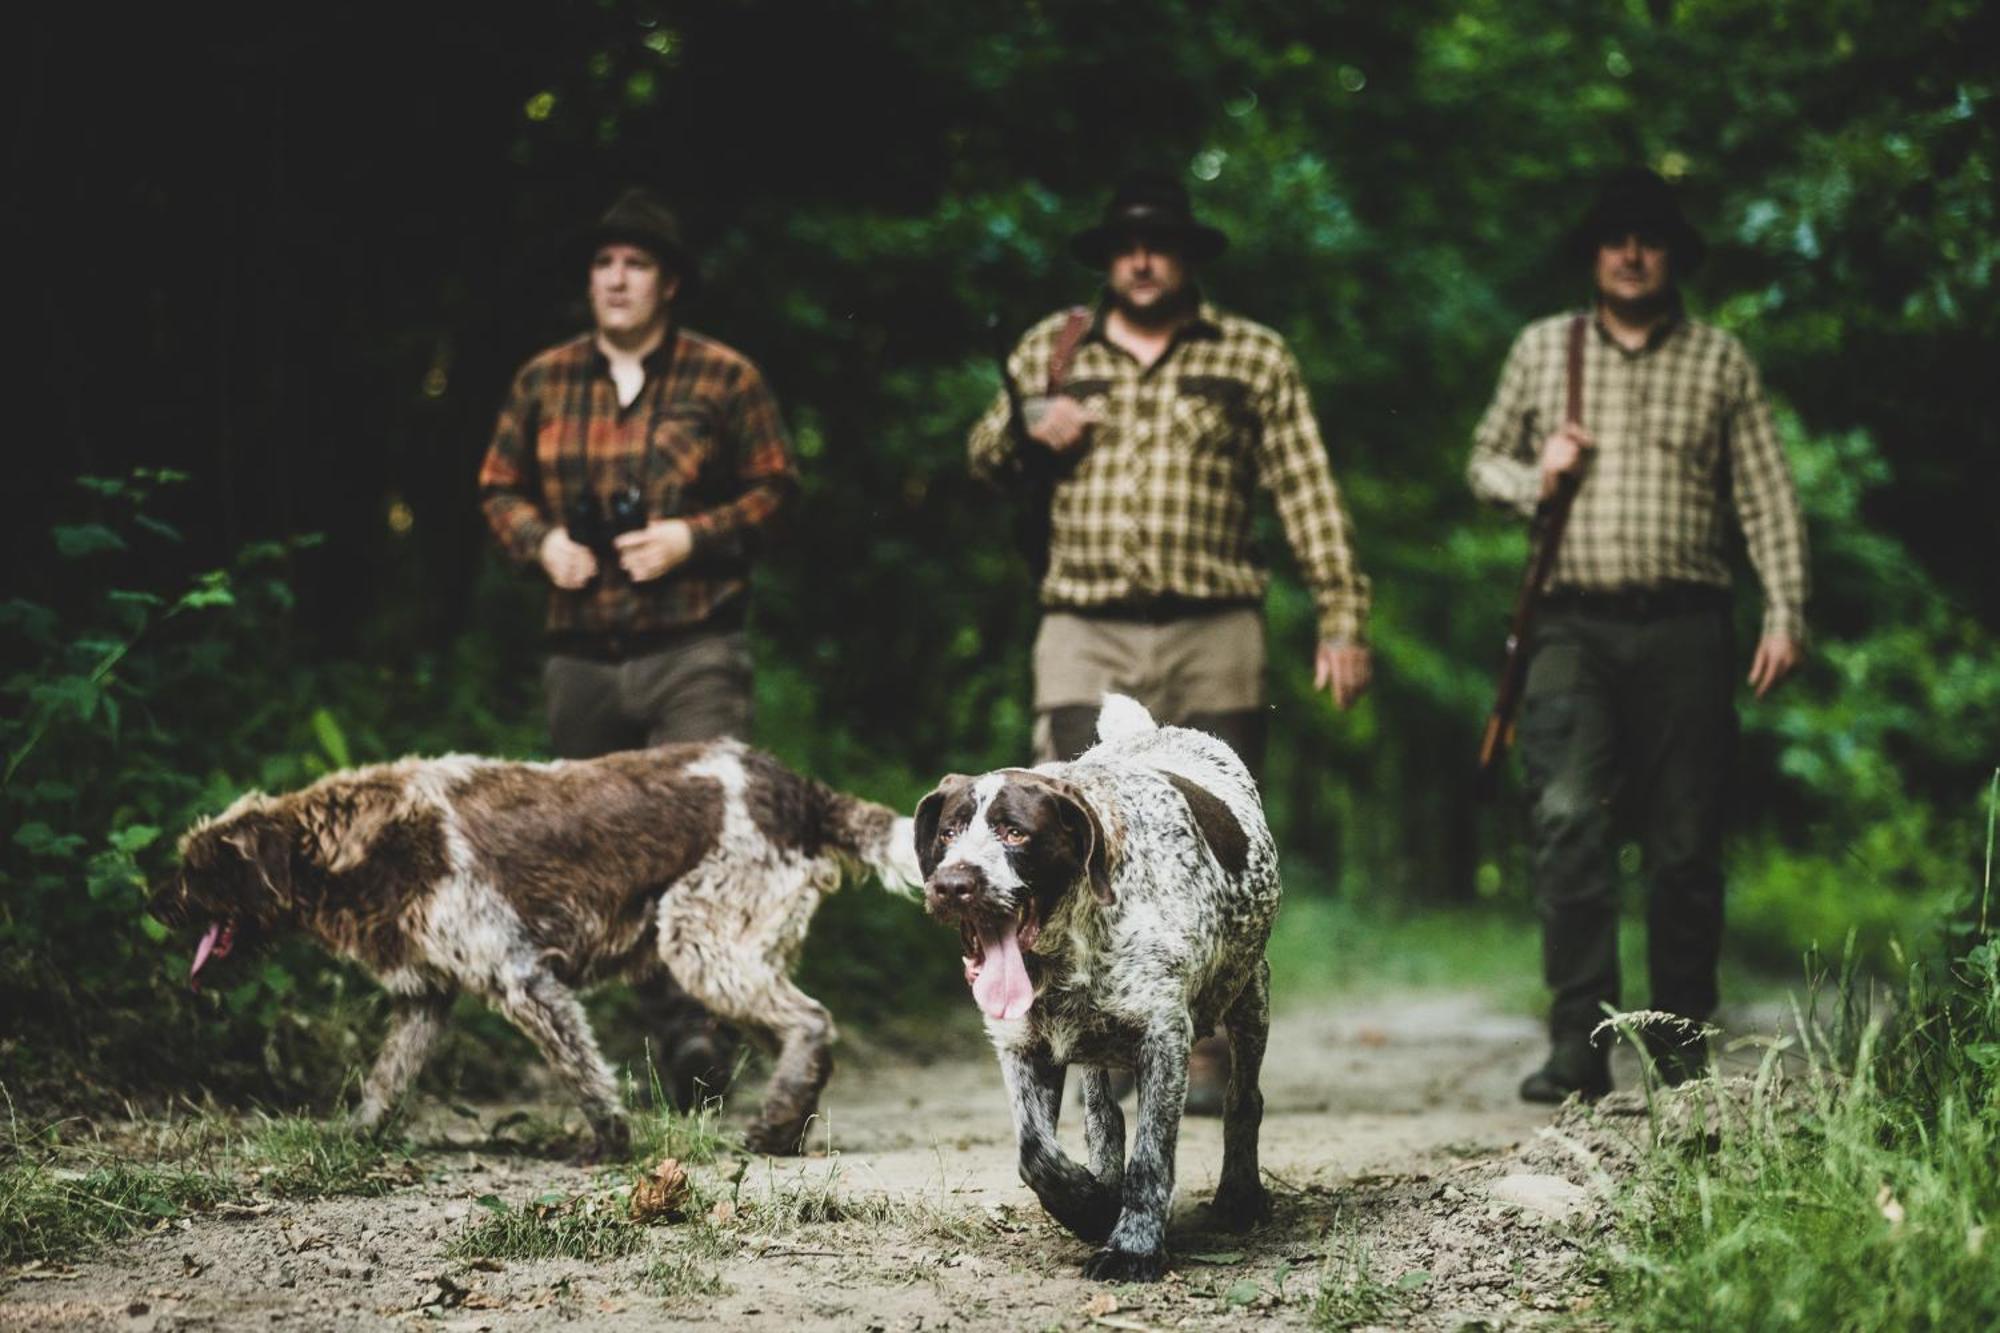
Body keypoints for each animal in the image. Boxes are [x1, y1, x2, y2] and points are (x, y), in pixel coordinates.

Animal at [154, 736, 920, 1152]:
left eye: (198, 871)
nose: (153, 902)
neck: (366, 842)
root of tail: (797, 788)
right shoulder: (426, 998)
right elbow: (385, 1080)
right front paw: (353, 1137)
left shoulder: (520, 976)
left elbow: (582, 1073)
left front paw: (612, 1143)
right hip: (736, 952)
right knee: (802, 1038)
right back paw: (785, 1130)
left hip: (703, 943)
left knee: (812, 1022)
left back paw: (772, 1129)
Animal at [916, 696, 1280, 1280]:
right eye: (947, 835)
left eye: (1016, 833)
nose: (953, 884)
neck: (1065, 951)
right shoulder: (1023, 1046)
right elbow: (1036, 1153)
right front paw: (1088, 1206)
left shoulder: (1164, 1039)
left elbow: (1151, 1157)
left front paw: (1133, 1247)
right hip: (1094, 1048)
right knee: (1102, 1117)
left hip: (1250, 995)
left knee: (1243, 1099)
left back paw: (1240, 1195)